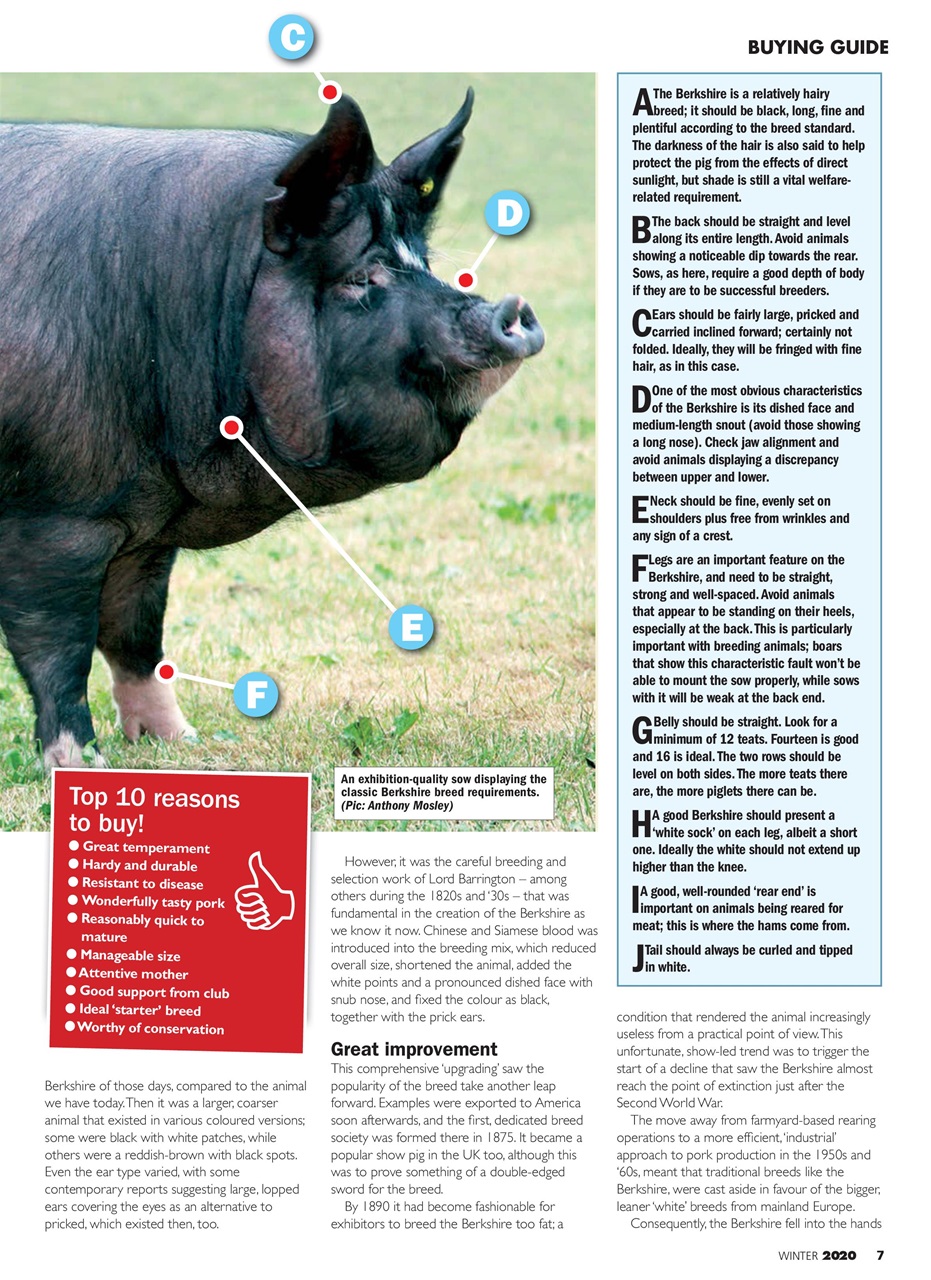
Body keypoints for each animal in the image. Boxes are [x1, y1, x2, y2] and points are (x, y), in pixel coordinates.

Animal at [0, 92, 543, 767]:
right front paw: (80, 766)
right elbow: (56, 650)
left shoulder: (146, 525)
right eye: (360, 278)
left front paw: (177, 741)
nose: (510, 310)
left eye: (424, 265)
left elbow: (136, 634)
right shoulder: (54, 516)